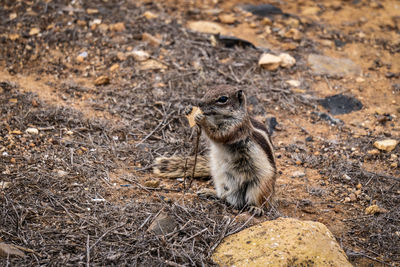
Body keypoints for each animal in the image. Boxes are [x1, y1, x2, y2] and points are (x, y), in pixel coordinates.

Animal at [155, 85, 276, 216]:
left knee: (260, 199)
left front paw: (201, 119)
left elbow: (217, 134)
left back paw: (256, 208)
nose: (199, 103)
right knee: (225, 196)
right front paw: (188, 109)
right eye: (208, 90)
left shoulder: (234, 128)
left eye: (223, 99)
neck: (218, 117)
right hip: (221, 178)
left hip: (260, 185)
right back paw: (210, 192)